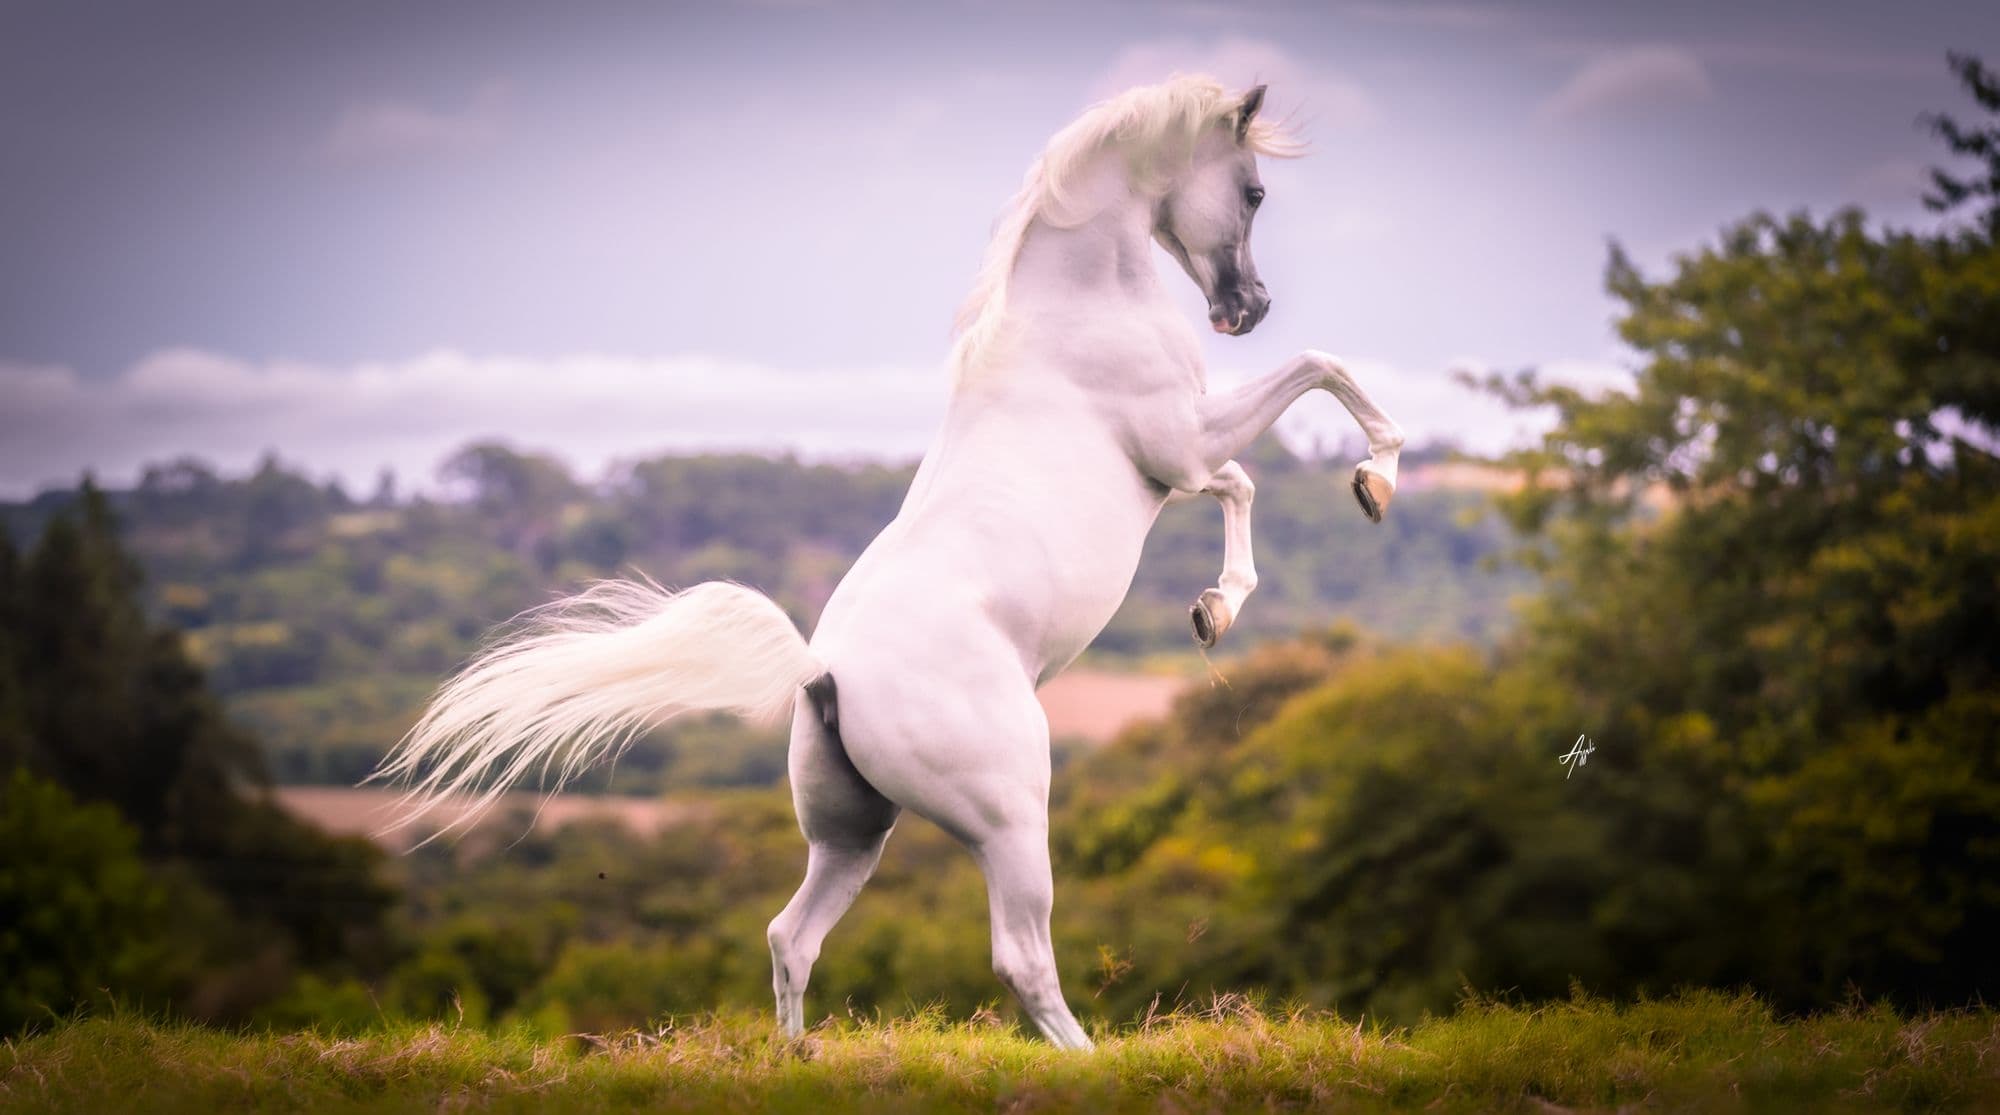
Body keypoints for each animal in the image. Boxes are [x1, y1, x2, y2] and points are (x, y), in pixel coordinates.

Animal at [372, 75, 1406, 1050]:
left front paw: (1217, 605)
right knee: (1018, 954)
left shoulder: (1187, 458)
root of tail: (821, 671)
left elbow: (1252, 472)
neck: (1078, 306)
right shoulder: (1182, 449)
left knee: (791, 935)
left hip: (854, 831)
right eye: (1254, 189)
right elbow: (1305, 391)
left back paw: (798, 1058)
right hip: (1008, 815)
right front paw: (1368, 485)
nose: (1247, 311)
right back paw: (1085, 1058)